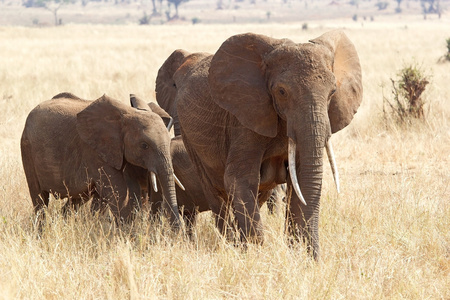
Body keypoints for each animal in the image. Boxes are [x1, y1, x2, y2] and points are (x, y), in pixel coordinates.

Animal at [20, 92, 180, 226]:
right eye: (144, 145)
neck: (127, 114)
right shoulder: (95, 152)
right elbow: (118, 193)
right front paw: (129, 234)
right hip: (27, 149)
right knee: (39, 200)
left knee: (76, 201)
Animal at [160, 31, 364, 260]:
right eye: (282, 92)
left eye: (332, 92)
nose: (315, 259)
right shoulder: (243, 119)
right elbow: (239, 178)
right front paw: (256, 256)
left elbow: (301, 179)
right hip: (190, 138)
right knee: (217, 195)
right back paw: (231, 246)